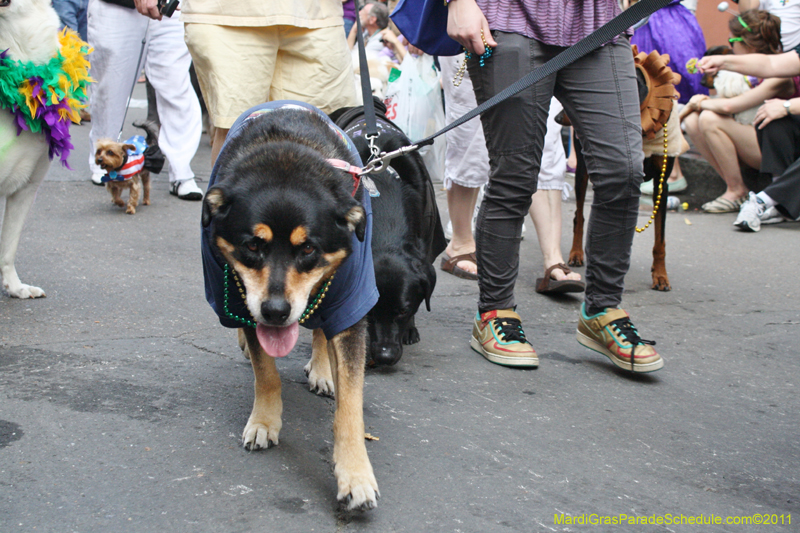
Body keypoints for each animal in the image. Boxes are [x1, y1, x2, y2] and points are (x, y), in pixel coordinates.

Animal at [198, 101, 376, 512]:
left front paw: (355, 474)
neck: (287, 156)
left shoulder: (351, 303)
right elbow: (266, 372)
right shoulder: (242, 296)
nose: (276, 312)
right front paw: (265, 422)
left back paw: (323, 369)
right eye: (252, 245)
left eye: (307, 248)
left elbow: (351, 403)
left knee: (322, 329)